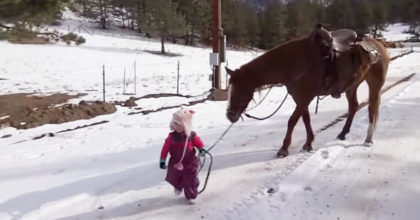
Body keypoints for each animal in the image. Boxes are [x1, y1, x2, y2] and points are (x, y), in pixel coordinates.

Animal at [226, 26, 390, 157]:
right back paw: (343, 133)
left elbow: (292, 120)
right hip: (352, 86)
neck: (295, 63)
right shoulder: (300, 98)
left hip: (374, 84)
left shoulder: (306, 97)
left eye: (240, 89)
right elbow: (306, 119)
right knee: (354, 106)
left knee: (372, 107)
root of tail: (379, 45)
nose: (230, 116)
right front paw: (308, 143)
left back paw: (368, 139)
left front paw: (284, 148)